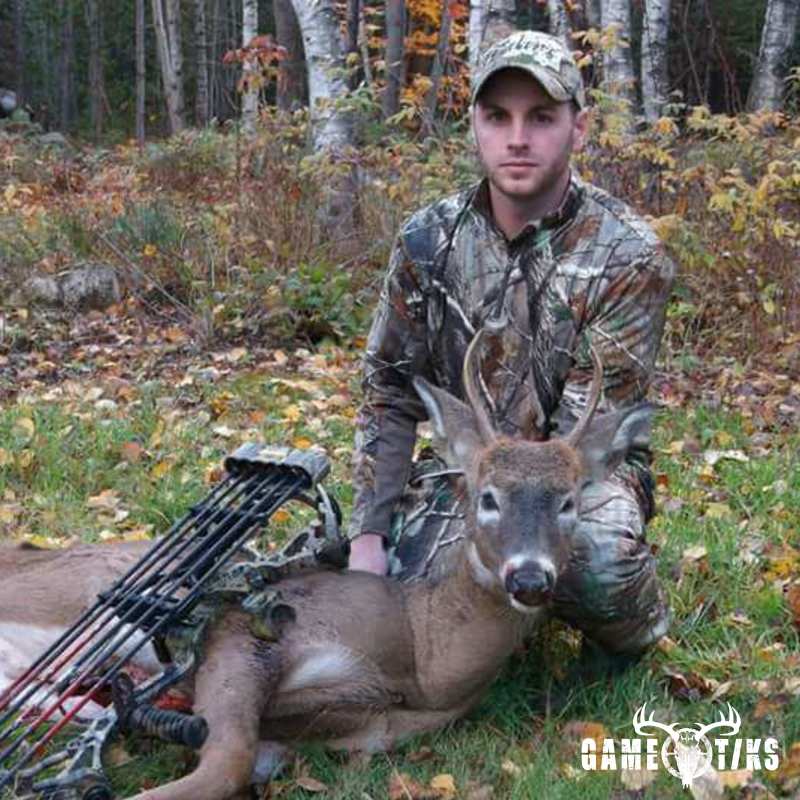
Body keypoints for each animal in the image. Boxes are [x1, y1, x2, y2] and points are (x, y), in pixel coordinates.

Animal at [0, 332, 654, 800]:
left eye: (569, 501)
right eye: (487, 495)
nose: (530, 577)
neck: (423, 656)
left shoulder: (338, 736)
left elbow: (246, 761)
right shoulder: (246, 632)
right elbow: (223, 765)